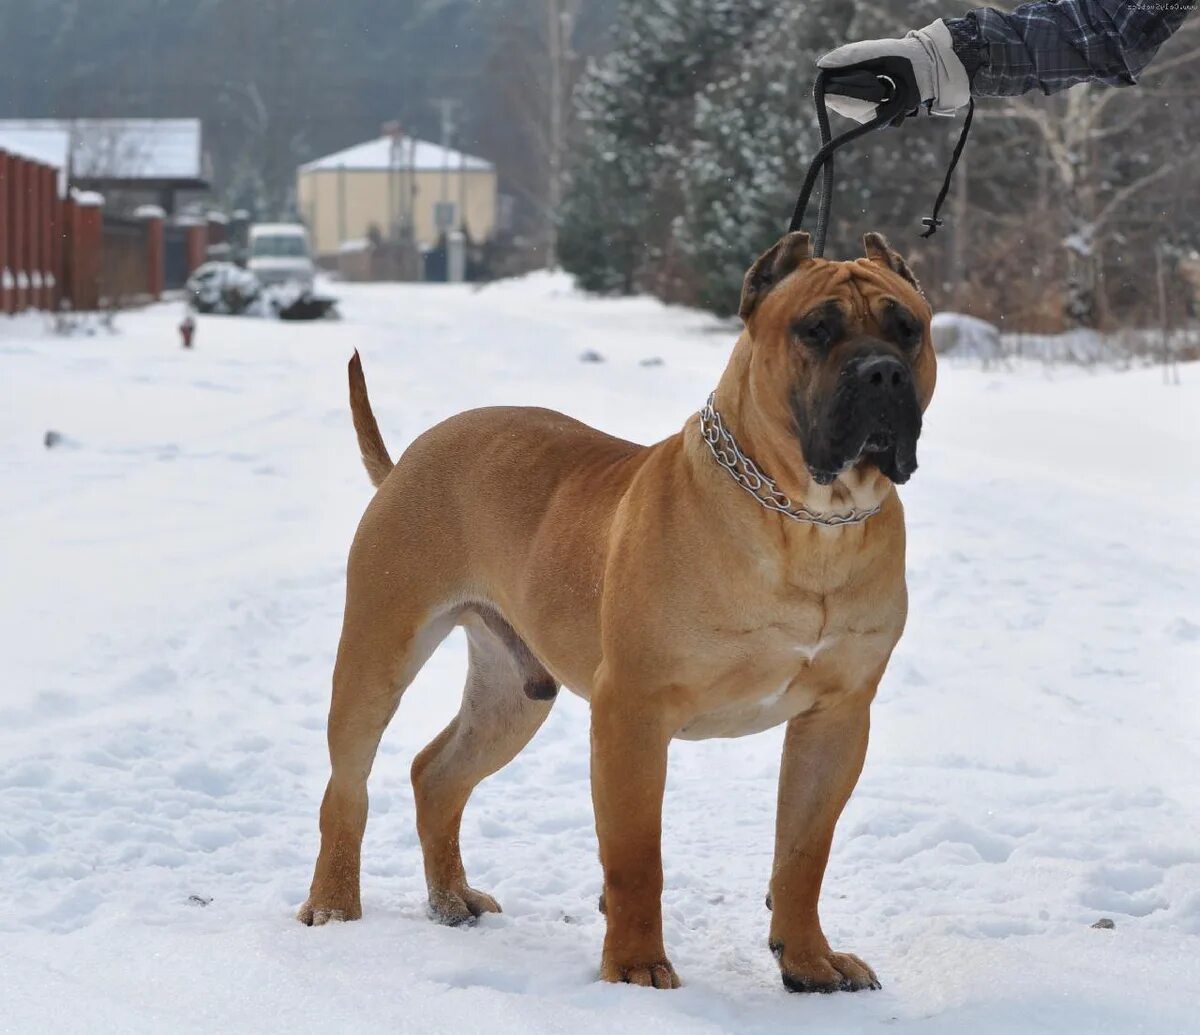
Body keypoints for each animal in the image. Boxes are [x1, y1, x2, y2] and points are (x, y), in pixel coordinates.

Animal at [295, 230, 931, 994]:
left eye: (908, 328)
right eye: (816, 329)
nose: (882, 373)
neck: (807, 521)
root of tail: (408, 458)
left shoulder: (835, 718)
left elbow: (804, 853)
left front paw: (808, 961)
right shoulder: (633, 710)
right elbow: (635, 857)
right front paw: (634, 967)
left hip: (513, 693)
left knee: (436, 773)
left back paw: (450, 900)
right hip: (378, 649)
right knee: (347, 785)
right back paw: (334, 904)